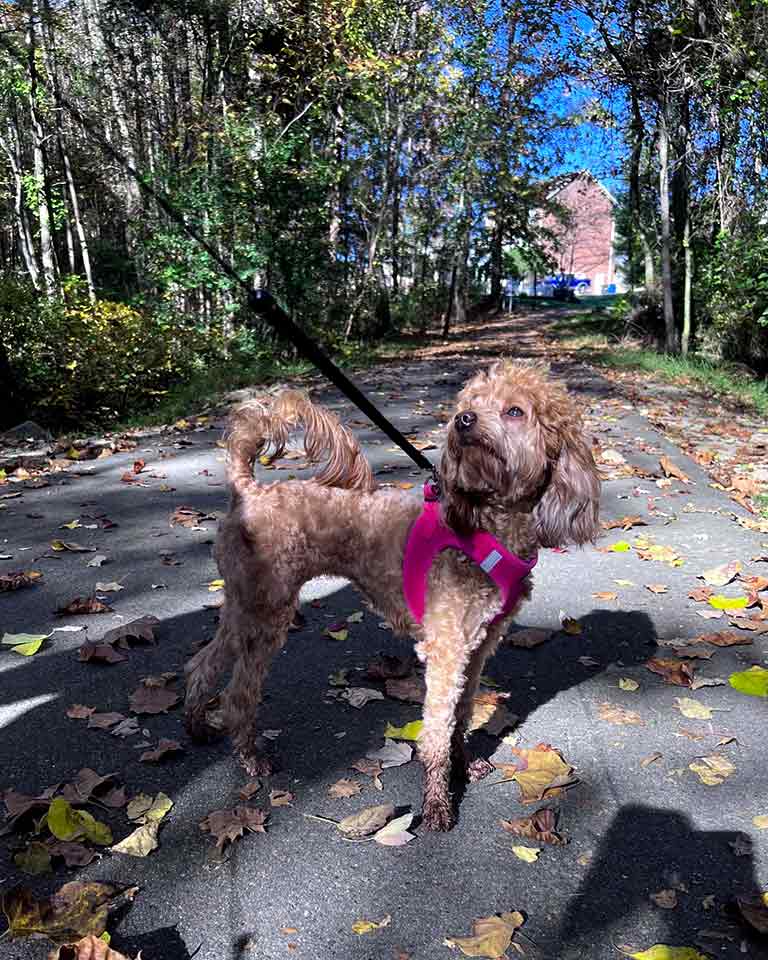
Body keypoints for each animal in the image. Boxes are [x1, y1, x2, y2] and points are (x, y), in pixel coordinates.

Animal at [184, 360, 600, 832]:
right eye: (471, 403)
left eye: (515, 411)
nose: (464, 421)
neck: (487, 526)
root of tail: (248, 489)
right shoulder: (446, 648)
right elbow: (437, 730)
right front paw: (438, 803)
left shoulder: (478, 646)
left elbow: (462, 713)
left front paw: (464, 764)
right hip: (265, 611)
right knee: (238, 693)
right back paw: (252, 759)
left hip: (243, 606)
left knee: (202, 663)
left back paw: (198, 726)